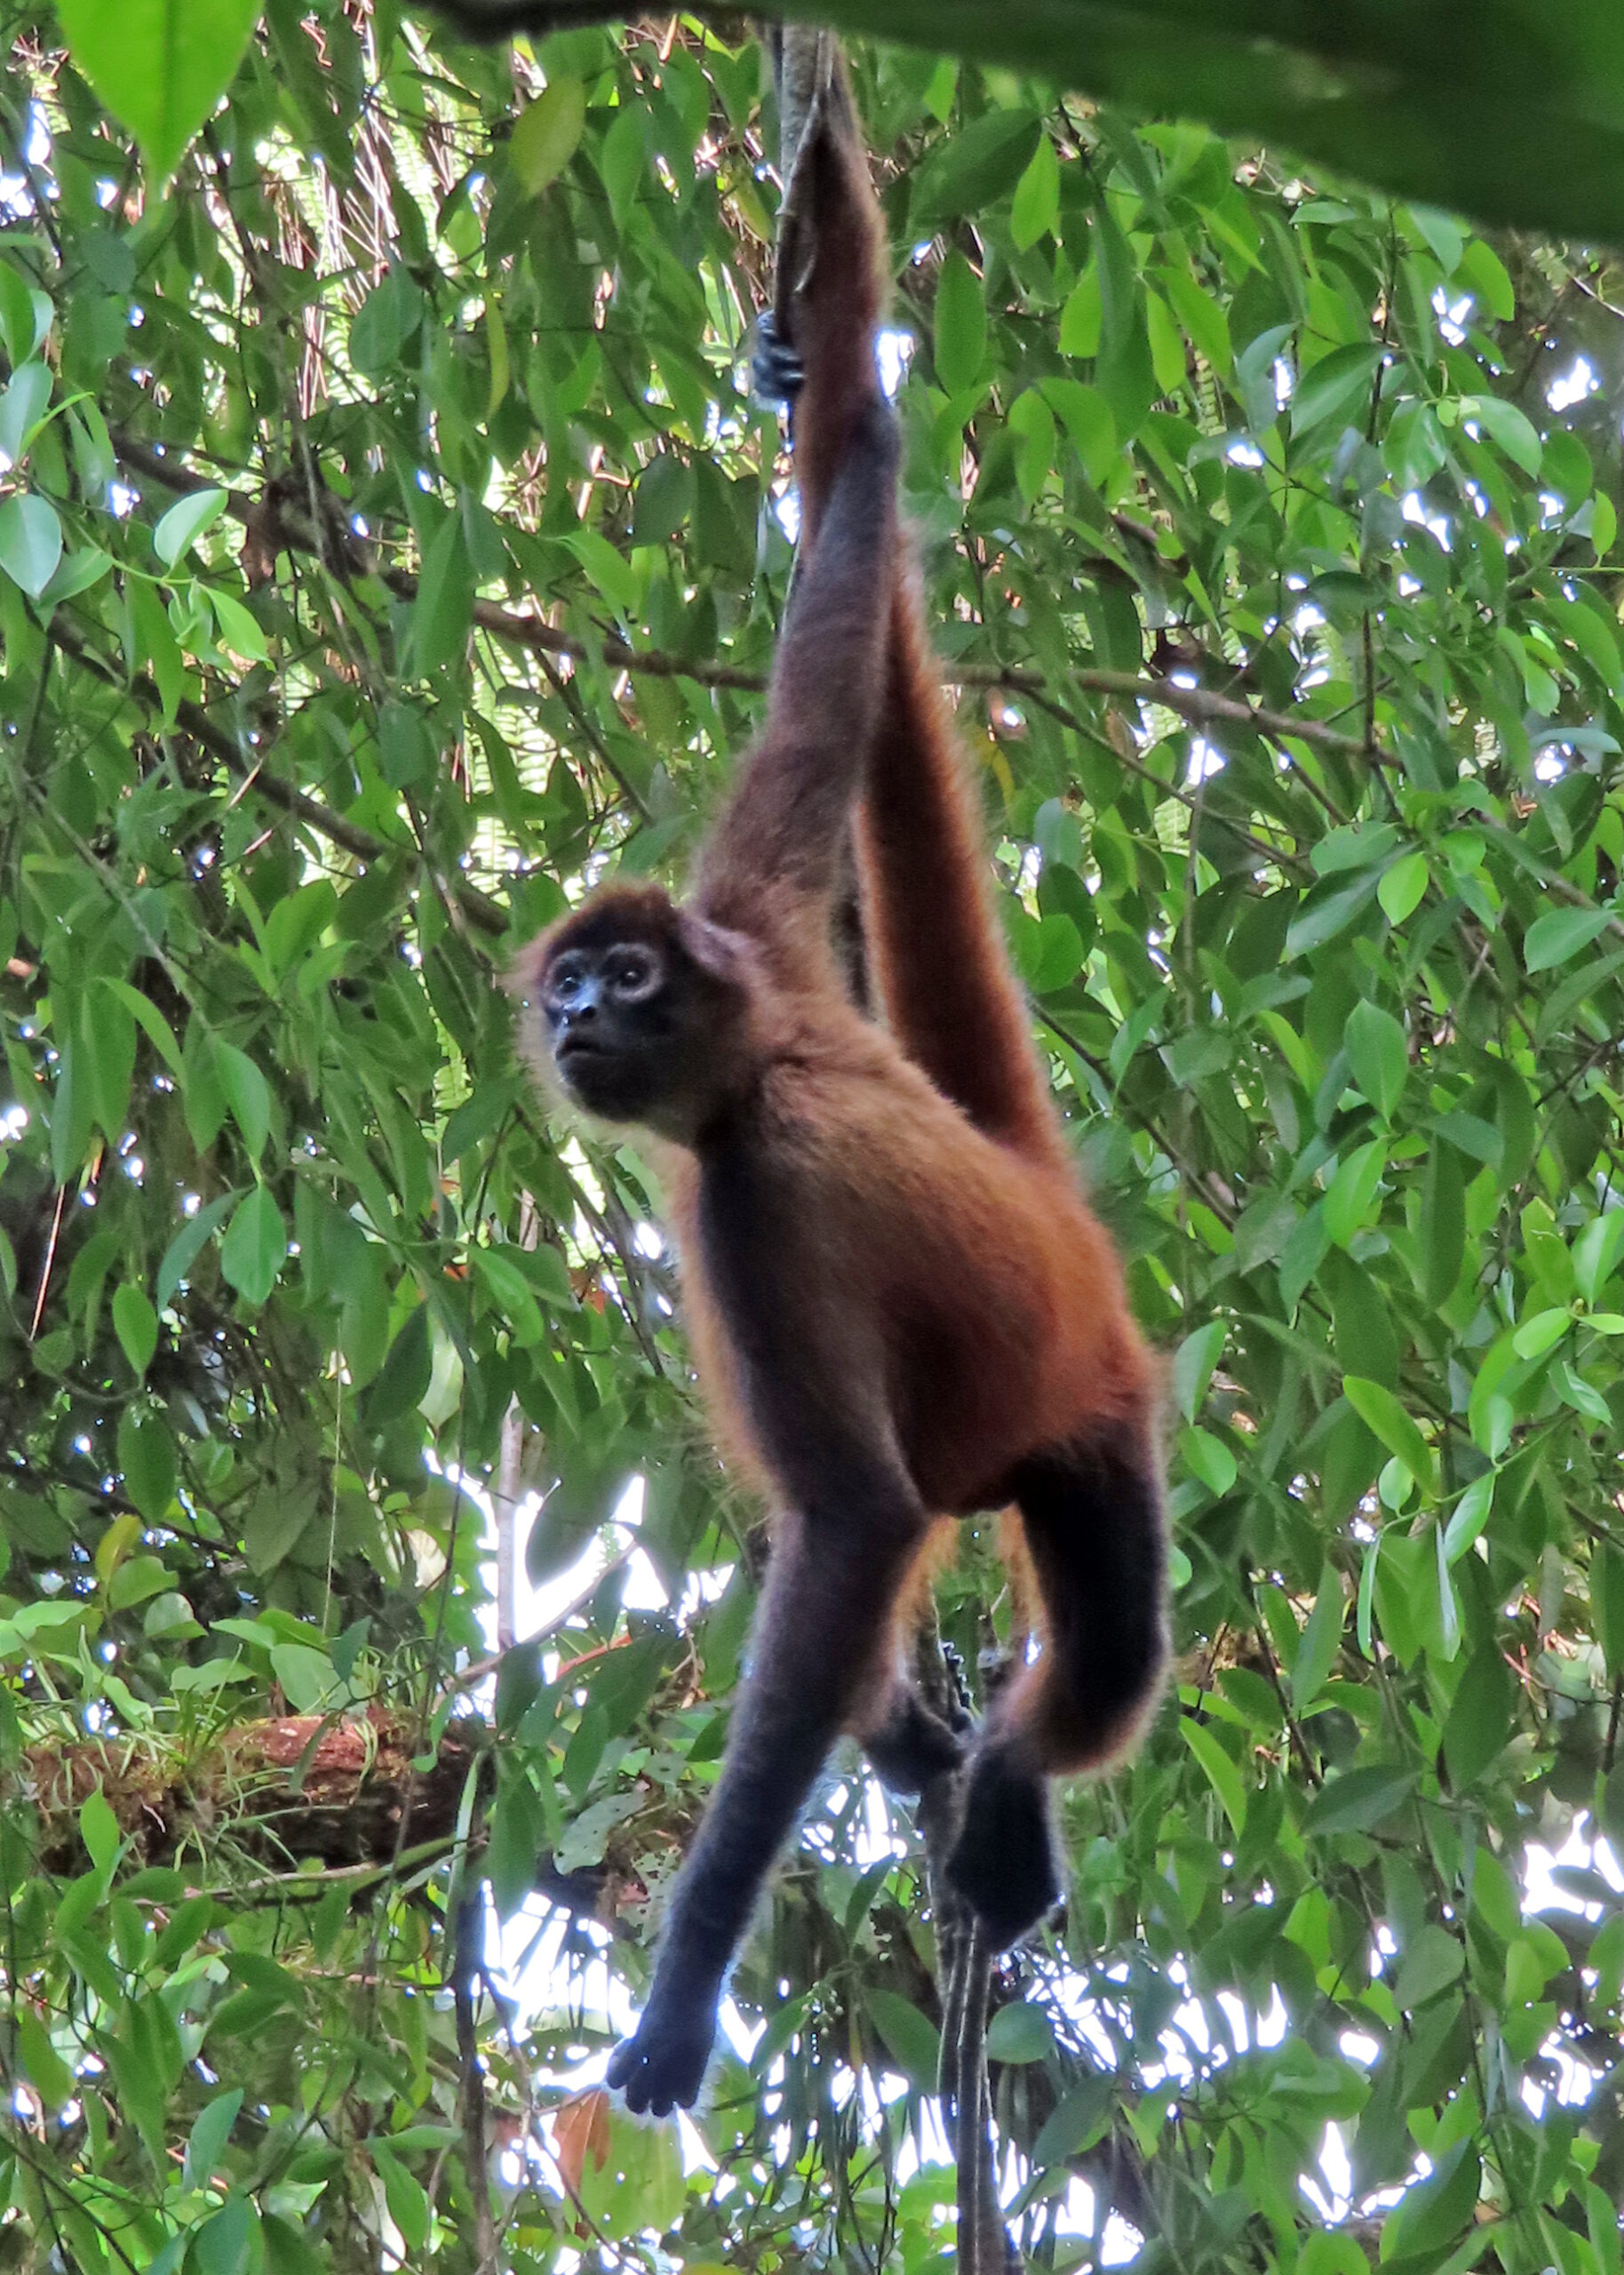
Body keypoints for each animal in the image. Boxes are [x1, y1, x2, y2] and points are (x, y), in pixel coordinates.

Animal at [514, 78, 1168, 2120]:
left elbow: (858, 1522)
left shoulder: (757, 1182)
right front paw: (831, 390)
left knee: (1097, 1658)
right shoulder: (759, 904)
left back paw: (1008, 1779)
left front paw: (678, 1995)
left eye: (619, 982)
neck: (765, 1046)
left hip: (1095, 1432)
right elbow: (830, 654)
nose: (574, 1011)